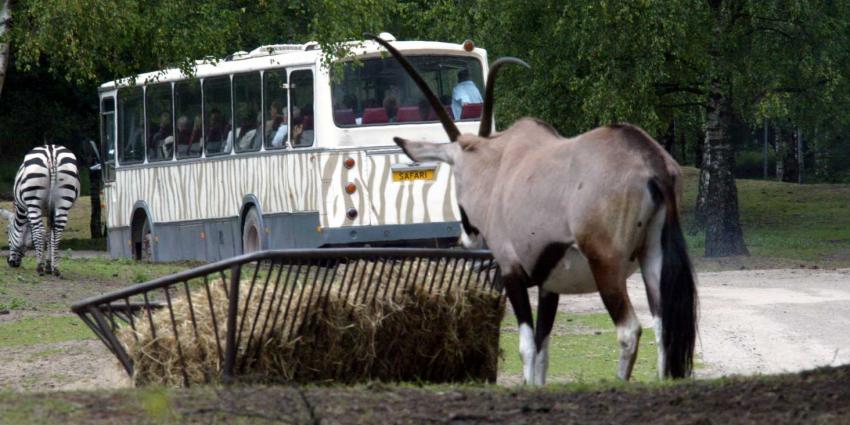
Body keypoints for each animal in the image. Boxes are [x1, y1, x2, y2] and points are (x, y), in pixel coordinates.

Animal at [2, 143, 80, 274]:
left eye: (8, 232)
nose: (11, 262)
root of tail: (51, 152)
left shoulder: (28, 211)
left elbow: (36, 234)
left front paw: (44, 265)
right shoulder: (49, 212)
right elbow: (49, 234)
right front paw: (49, 265)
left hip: (34, 201)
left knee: (39, 231)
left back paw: (39, 267)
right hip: (63, 202)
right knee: (58, 229)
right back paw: (56, 268)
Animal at [368, 34, 700, 382]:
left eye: (454, 175)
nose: (467, 236)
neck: (497, 167)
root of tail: (651, 160)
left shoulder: (511, 271)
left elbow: (527, 348)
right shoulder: (548, 286)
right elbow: (543, 352)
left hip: (606, 265)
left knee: (629, 331)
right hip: (653, 258)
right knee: (663, 332)